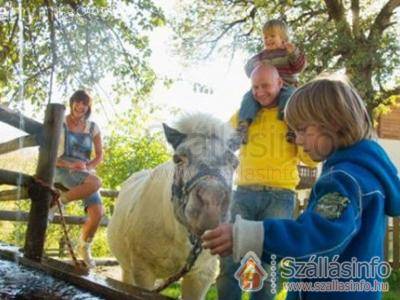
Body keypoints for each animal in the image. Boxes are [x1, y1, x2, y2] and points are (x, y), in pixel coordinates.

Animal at [106, 113, 238, 298]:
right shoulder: (142, 271)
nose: (211, 203)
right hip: (127, 268)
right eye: (178, 159)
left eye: (235, 163)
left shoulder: (202, 275)